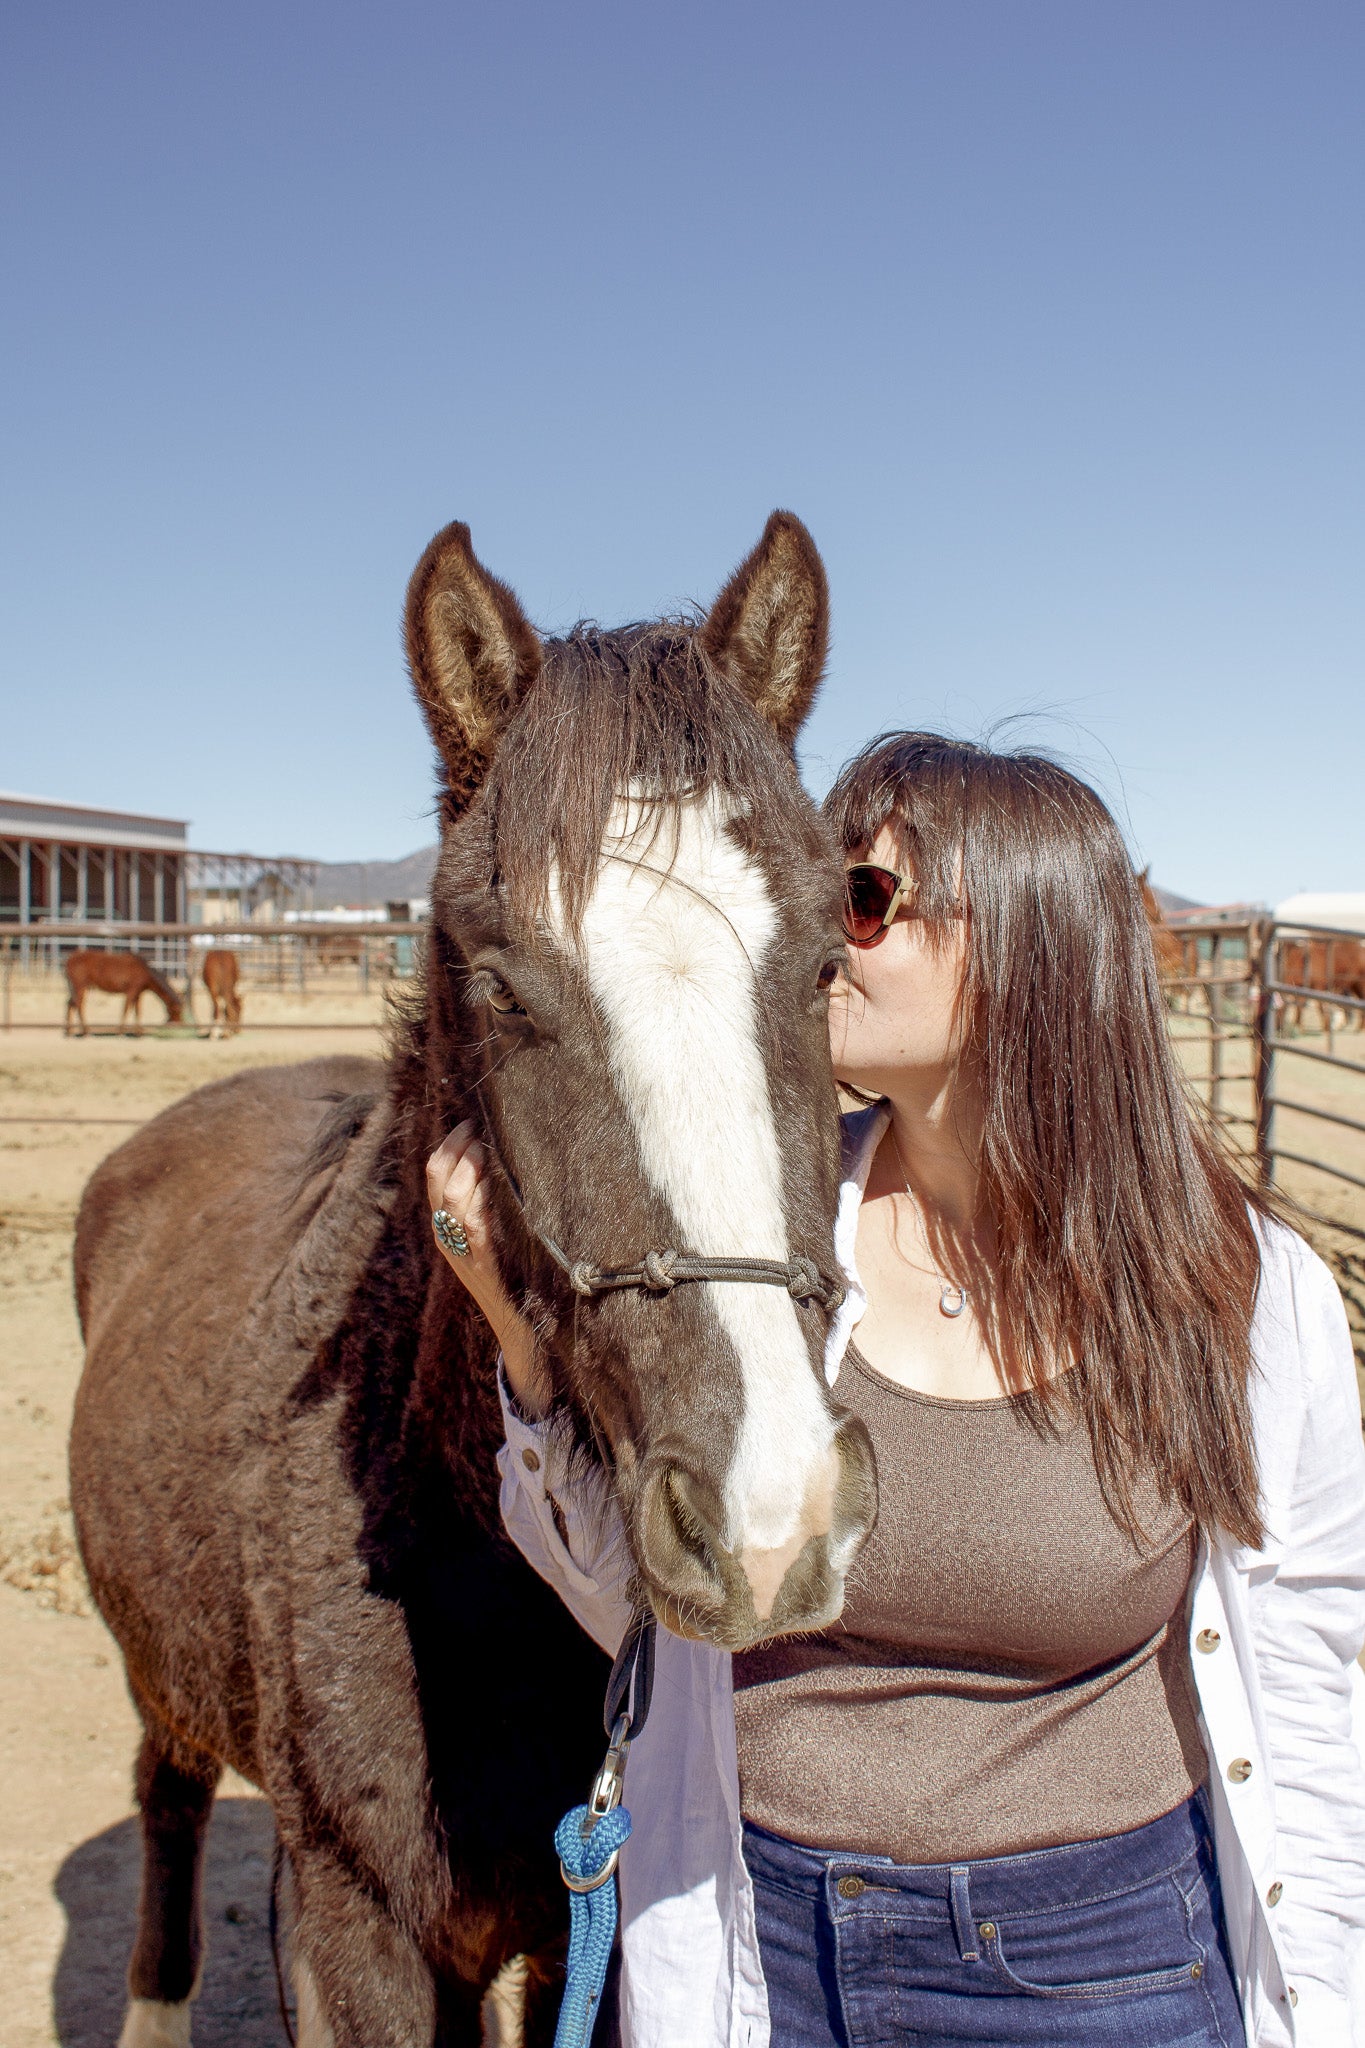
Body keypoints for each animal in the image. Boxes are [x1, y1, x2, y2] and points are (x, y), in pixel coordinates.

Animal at [70, 513, 878, 2048]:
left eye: (822, 967)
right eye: (499, 985)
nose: (769, 1516)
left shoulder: (576, 1934)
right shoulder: (352, 1929)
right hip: (158, 1678)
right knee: (167, 1804)